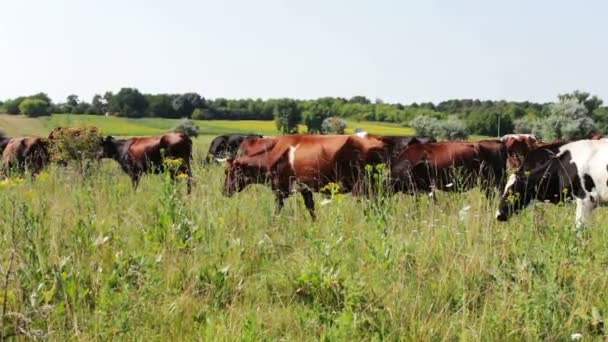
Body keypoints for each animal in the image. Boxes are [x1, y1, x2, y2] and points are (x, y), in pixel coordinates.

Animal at [223, 134, 390, 219]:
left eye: (228, 172)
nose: (224, 191)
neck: (272, 154)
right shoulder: (305, 189)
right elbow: (311, 209)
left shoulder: (280, 190)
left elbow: (276, 212)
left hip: (368, 187)